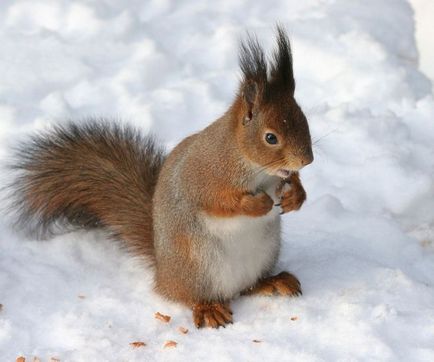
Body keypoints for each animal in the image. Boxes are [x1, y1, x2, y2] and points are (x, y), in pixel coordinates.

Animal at [6, 26, 312, 330]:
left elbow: (292, 183)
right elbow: (218, 202)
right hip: (197, 265)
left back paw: (273, 281)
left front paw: (296, 195)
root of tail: (163, 275)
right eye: (270, 138)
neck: (253, 166)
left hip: (264, 253)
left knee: (249, 286)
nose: (306, 160)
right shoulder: (203, 175)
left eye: (304, 119)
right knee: (191, 296)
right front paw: (258, 204)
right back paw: (209, 308)